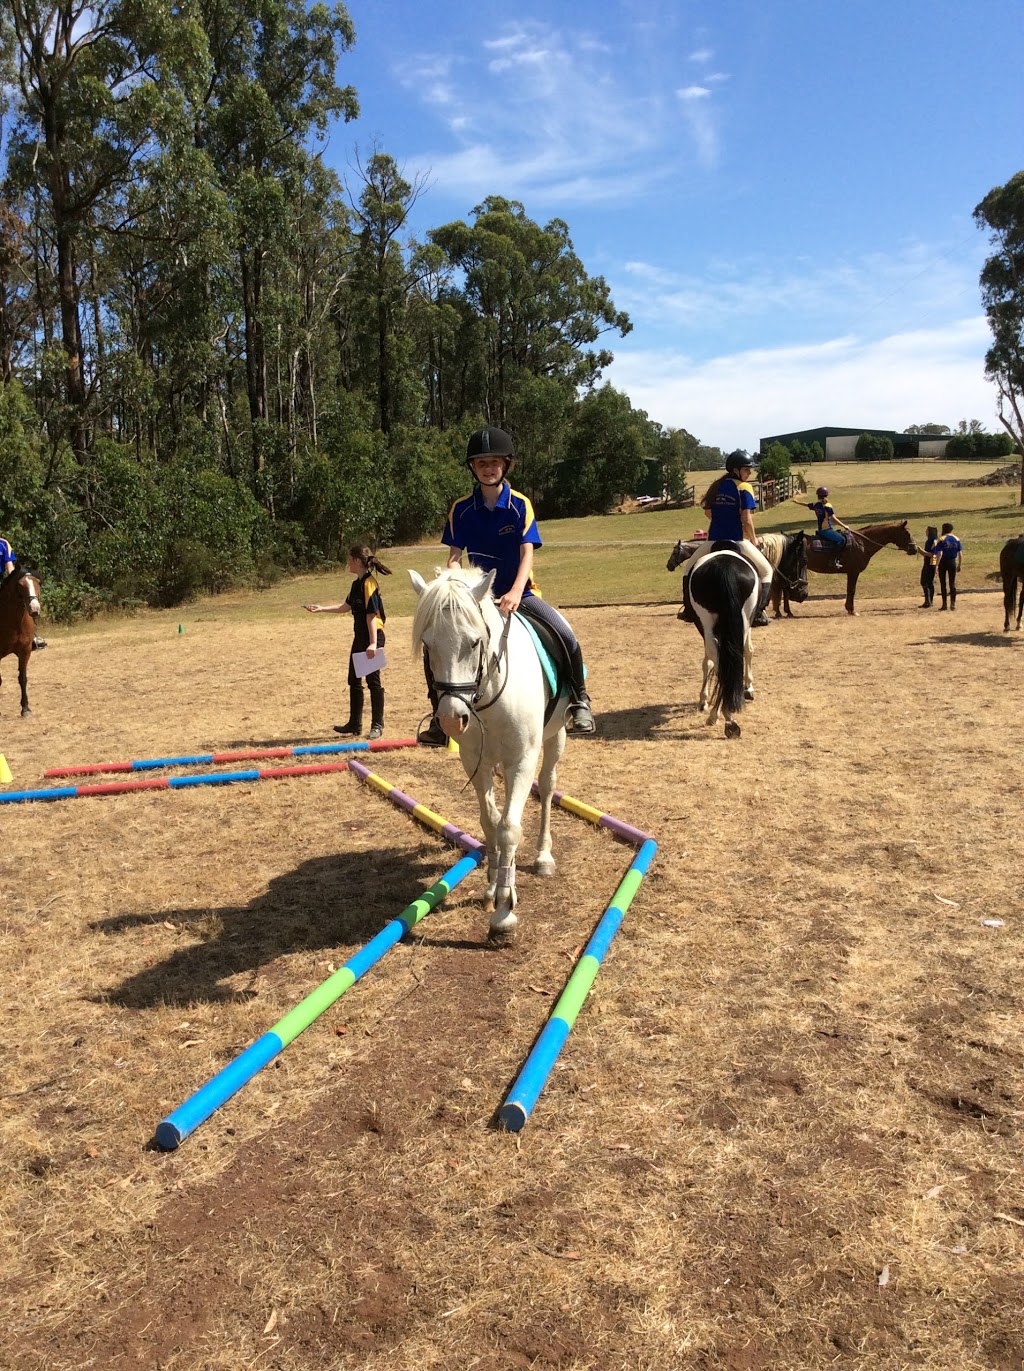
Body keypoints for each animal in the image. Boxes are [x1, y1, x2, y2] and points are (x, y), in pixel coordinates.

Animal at [0, 564, 41, 718]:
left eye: (38, 582)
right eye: (20, 585)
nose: (35, 609)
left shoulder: (25, 651)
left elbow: (22, 679)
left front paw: (26, 709)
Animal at [408, 567, 567, 943]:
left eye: (474, 642)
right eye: (427, 645)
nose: (452, 718)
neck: (489, 693)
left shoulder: (521, 761)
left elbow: (509, 827)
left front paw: (504, 914)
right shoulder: (474, 762)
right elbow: (490, 822)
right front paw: (494, 887)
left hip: (556, 736)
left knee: (548, 786)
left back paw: (543, 856)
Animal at [685, 542, 756, 740]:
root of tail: (725, 568)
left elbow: (708, 662)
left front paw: (703, 699)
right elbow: (748, 650)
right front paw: (748, 688)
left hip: (708, 624)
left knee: (719, 661)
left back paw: (722, 715)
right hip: (740, 622)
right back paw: (726, 716)